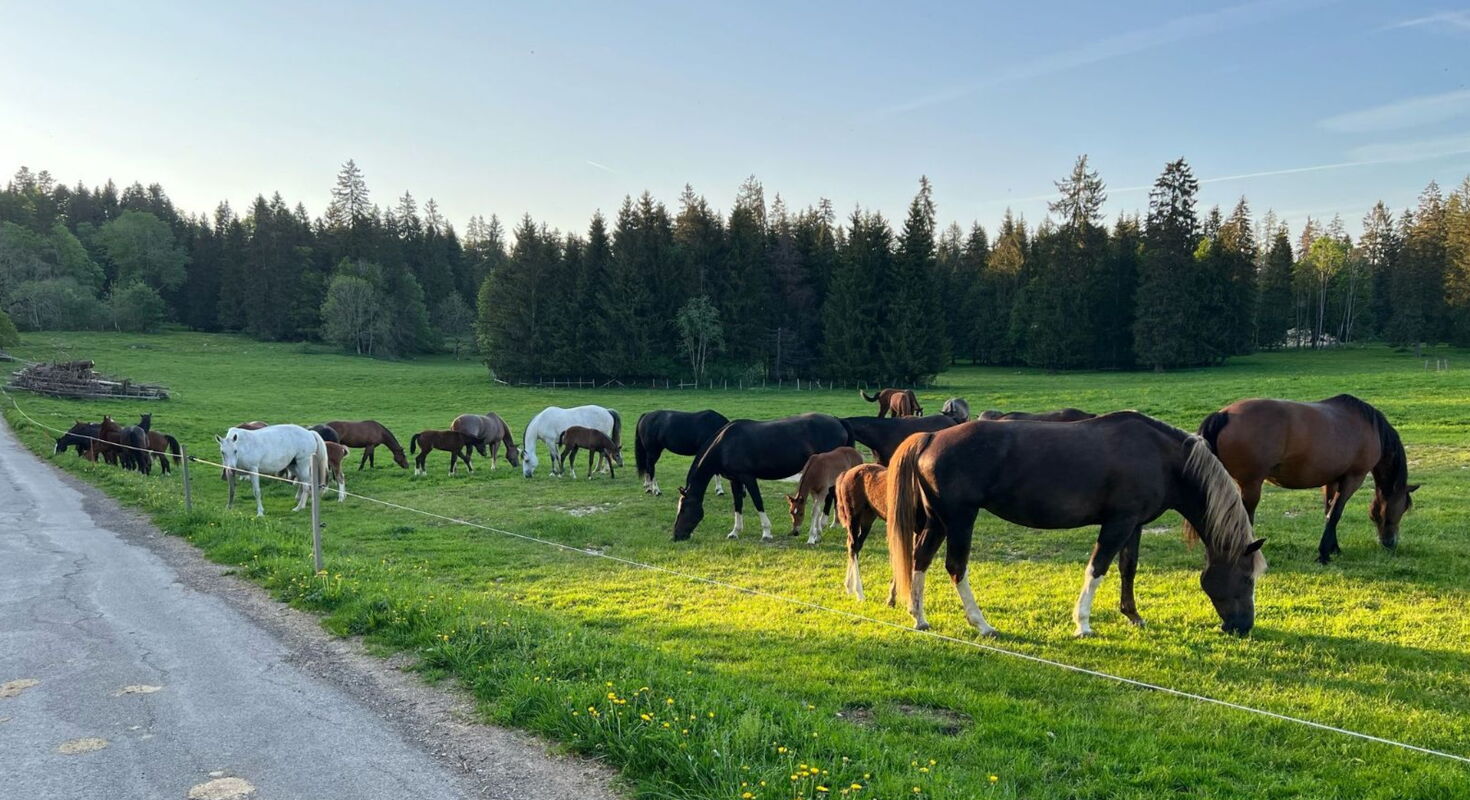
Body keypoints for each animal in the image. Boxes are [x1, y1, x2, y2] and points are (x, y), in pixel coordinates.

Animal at [673, 413, 853, 541]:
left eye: (683, 509)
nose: (676, 536)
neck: (725, 445)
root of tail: (838, 421)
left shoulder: (748, 478)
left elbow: (758, 501)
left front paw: (766, 532)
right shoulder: (735, 480)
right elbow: (738, 504)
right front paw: (735, 532)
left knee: (830, 496)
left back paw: (822, 526)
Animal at [835, 463, 892, 602]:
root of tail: (846, 473)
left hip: (867, 519)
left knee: (855, 545)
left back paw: (849, 587)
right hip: (853, 516)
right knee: (853, 545)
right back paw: (859, 593)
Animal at [887, 412, 1267, 637]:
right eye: (1247, 578)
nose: (1242, 627)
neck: (1161, 457)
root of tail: (930, 438)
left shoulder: (1134, 524)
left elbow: (1128, 567)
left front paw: (1133, 615)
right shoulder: (1117, 523)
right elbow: (1097, 568)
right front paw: (1083, 623)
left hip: (938, 521)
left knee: (920, 561)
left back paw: (919, 617)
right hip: (960, 519)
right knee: (956, 567)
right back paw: (982, 624)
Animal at [1199, 395, 1417, 564]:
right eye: (1403, 507)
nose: (1390, 543)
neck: (1369, 427)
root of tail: (1224, 414)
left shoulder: (1332, 481)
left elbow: (1329, 511)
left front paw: (1333, 548)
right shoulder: (1353, 479)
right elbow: (1335, 514)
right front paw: (1324, 555)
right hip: (1251, 485)